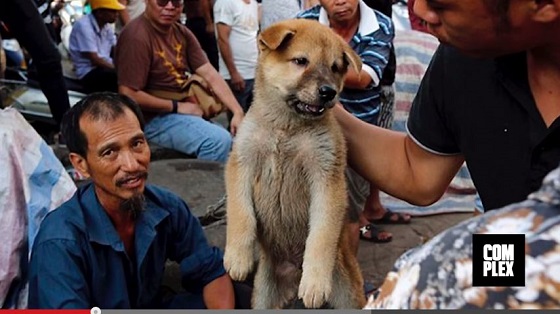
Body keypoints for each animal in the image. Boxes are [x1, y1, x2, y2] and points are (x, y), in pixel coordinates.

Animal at [225, 19, 366, 310]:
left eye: (335, 67)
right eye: (301, 61)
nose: (328, 92)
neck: (286, 128)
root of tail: (291, 274)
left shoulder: (327, 177)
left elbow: (321, 235)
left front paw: (315, 282)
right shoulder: (241, 163)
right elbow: (240, 213)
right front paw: (238, 257)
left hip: (347, 295)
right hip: (264, 296)